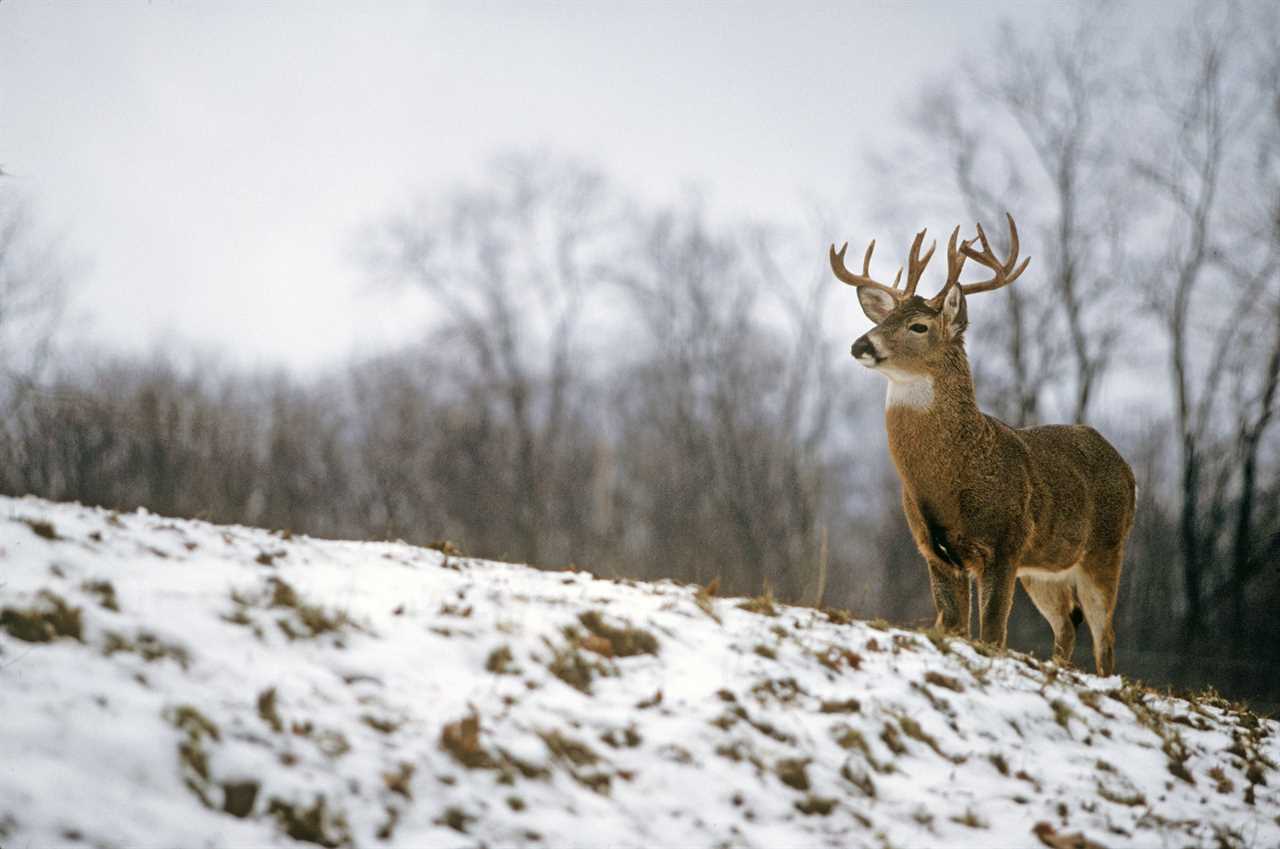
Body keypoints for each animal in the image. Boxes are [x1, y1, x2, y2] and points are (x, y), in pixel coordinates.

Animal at [829, 216, 1141, 676]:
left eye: (918, 326)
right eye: (886, 318)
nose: (860, 344)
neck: (951, 478)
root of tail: (1127, 468)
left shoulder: (1004, 544)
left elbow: (992, 632)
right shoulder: (935, 552)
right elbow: (954, 626)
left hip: (1104, 548)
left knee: (1106, 637)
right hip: (1043, 569)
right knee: (1067, 624)